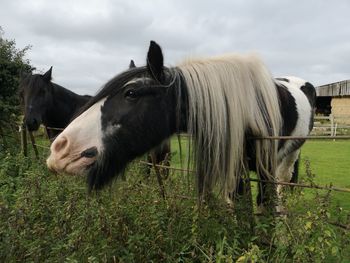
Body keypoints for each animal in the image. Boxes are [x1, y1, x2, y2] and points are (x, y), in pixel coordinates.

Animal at [46, 41, 314, 210]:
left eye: (131, 93)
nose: (60, 148)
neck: (247, 108)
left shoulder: (264, 170)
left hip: (289, 157)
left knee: (284, 183)